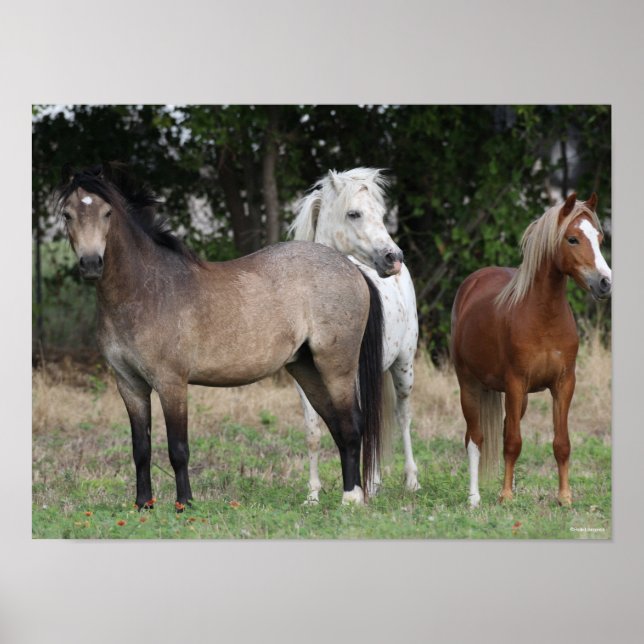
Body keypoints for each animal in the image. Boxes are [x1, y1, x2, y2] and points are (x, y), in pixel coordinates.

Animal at [55, 163, 388, 510]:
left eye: (107, 213)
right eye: (67, 214)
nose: (91, 263)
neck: (145, 291)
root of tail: (352, 268)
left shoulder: (171, 383)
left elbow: (178, 449)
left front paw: (184, 504)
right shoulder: (130, 386)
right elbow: (141, 450)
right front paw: (143, 504)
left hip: (337, 367)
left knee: (351, 425)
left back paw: (351, 499)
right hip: (306, 369)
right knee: (337, 425)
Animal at [289, 168, 420, 502]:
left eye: (383, 214)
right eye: (353, 213)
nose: (393, 257)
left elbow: (356, 423)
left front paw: (355, 492)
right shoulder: (304, 381)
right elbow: (313, 431)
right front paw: (313, 494)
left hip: (403, 367)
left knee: (402, 417)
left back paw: (409, 480)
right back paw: (373, 481)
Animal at [451, 193, 611, 508]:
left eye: (599, 238)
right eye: (572, 239)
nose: (604, 282)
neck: (543, 318)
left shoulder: (563, 384)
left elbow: (561, 443)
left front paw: (564, 497)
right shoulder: (515, 383)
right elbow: (513, 443)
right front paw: (506, 496)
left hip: (518, 398)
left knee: (501, 431)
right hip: (470, 386)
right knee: (474, 438)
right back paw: (474, 498)